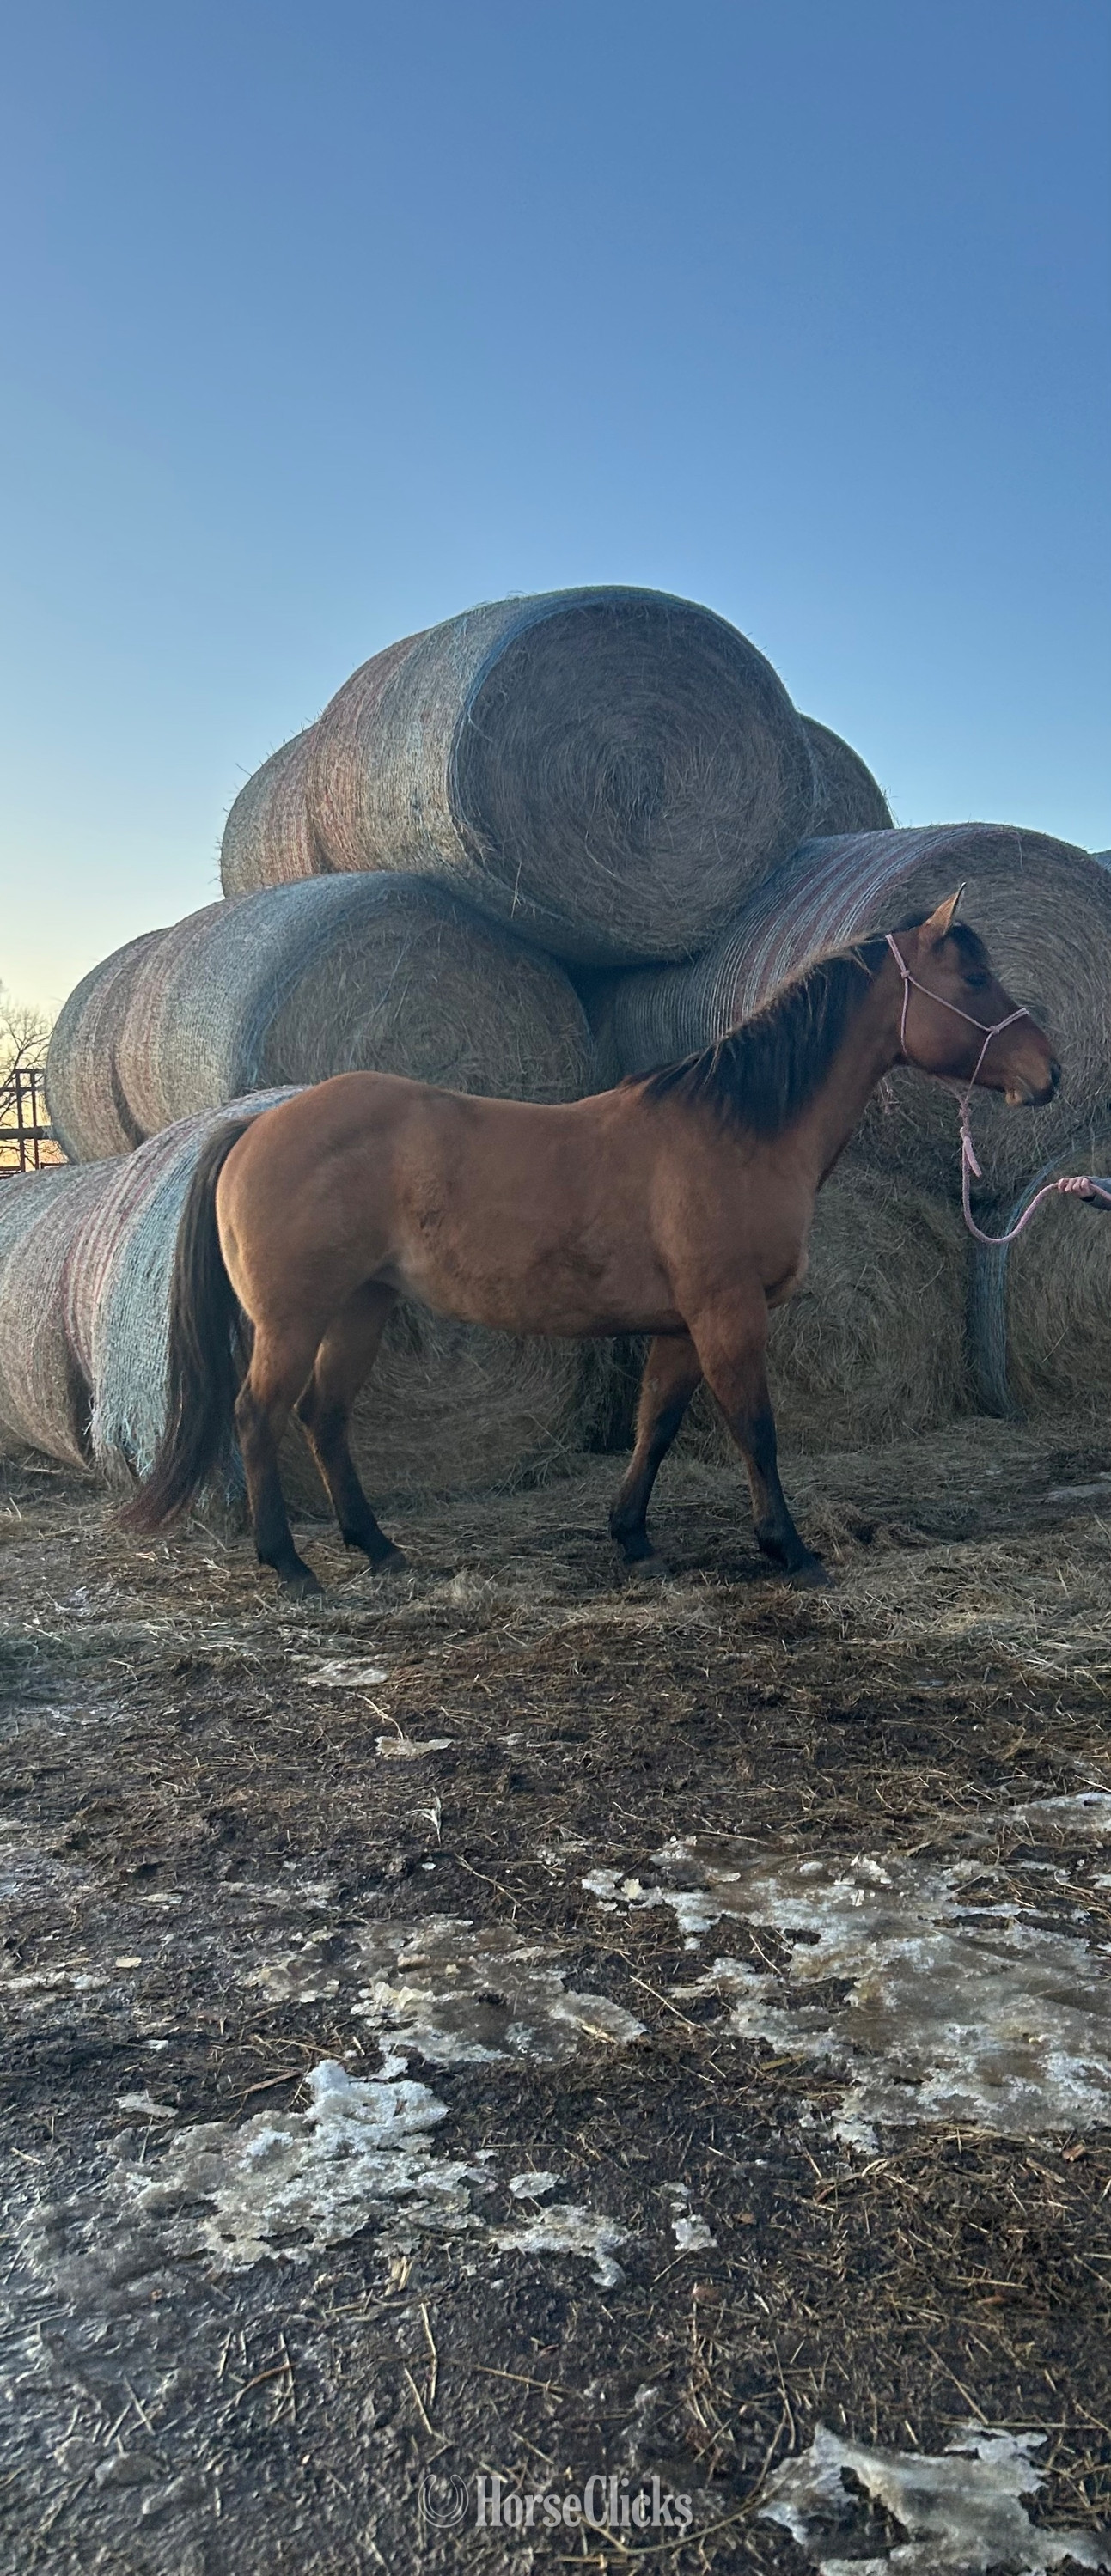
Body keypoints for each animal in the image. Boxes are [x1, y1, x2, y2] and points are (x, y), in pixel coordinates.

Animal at [124, 892, 1058, 1594]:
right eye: (974, 975)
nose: (1048, 1073)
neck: (738, 1130)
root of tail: (256, 1123)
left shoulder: (683, 1326)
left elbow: (657, 1426)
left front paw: (633, 1537)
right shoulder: (728, 1314)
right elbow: (754, 1430)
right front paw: (789, 1550)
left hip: (362, 1307)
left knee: (323, 1415)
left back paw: (378, 1546)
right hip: (294, 1319)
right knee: (258, 1414)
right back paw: (287, 1563)